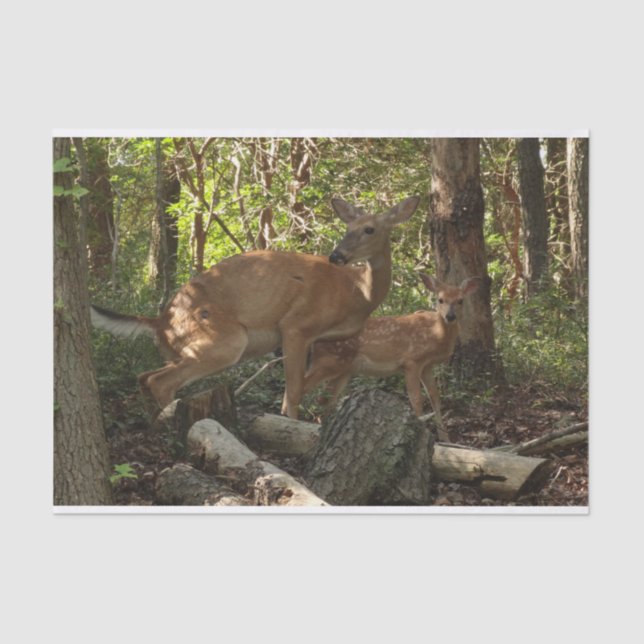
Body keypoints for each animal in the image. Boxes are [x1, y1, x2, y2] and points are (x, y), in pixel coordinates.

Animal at [90, 196, 419, 420]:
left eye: (369, 229)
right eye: (347, 227)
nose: (336, 255)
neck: (357, 292)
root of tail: (160, 321)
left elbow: (304, 389)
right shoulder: (296, 324)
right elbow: (294, 390)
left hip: (180, 349)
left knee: (145, 376)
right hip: (225, 340)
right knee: (159, 381)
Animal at [299, 273, 481, 441]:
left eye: (460, 300)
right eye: (440, 299)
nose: (450, 316)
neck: (436, 334)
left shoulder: (427, 366)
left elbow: (435, 398)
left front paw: (445, 439)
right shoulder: (411, 361)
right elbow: (416, 398)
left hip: (343, 370)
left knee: (325, 400)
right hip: (328, 362)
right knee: (302, 388)